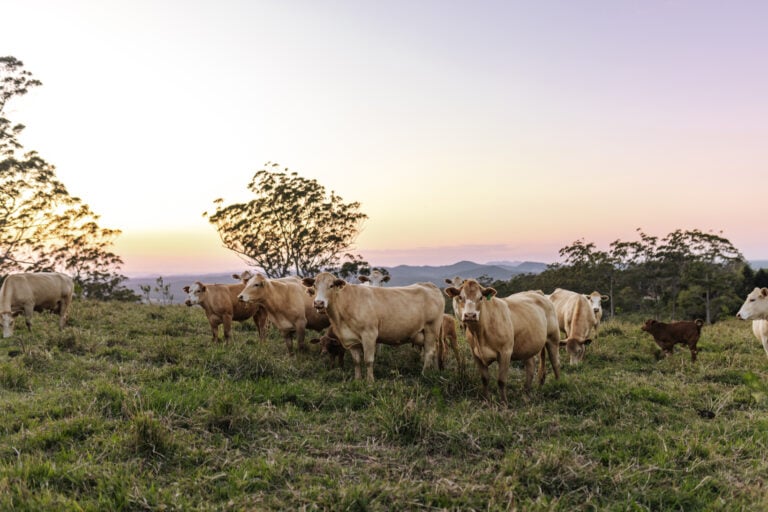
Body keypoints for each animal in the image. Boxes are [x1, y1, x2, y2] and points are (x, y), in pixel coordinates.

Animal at [301, 272, 445, 382]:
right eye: (314, 285)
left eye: (331, 285)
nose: (318, 303)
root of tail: (429, 285)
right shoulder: (351, 340)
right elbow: (357, 361)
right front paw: (358, 380)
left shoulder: (369, 335)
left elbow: (368, 360)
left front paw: (370, 382)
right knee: (435, 350)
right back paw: (435, 371)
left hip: (431, 329)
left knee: (429, 352)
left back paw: (424, 374)